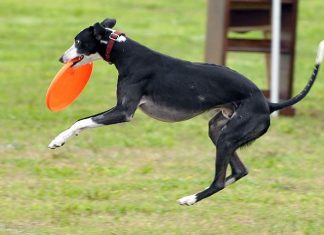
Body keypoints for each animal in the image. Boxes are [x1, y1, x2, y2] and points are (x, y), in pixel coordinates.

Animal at [48, 18, 324, 206]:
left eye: (77, 41)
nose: (61, 59)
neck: (124, 51)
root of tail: (268, 104)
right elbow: (83, 121)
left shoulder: (124, 111)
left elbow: (82, 121)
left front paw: (58, 140)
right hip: (219, 130)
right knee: (239, 171)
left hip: (228, 137)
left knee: (219, 181)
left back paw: (190, 198)